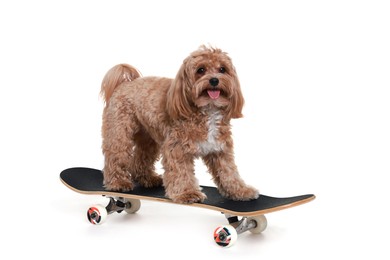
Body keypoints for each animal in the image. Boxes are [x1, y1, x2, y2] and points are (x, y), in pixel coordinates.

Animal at [100, 45, 258, 203]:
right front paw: (187, 193)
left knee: (140, 158)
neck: (208, 110)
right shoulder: (177, 148)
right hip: (119, 133)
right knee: (115, 157)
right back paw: (118, 182)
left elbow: (229, 171)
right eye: (201, 70)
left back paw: (148, 179)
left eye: (222, 69)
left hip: (148, 137)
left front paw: (240, 191)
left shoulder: (220, 148)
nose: (214, 80)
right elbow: (181, 172)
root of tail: (126, 83)